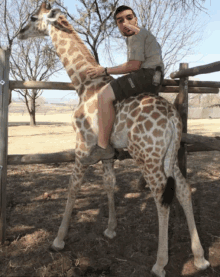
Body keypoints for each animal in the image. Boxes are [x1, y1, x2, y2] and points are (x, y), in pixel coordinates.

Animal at [17, 2, 210, 276]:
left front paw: (58, 240)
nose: (20, 33)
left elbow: (73, 188)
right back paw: (200, 258)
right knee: (183, 189)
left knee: (162, 197)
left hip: (147, 157)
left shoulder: (81, 148)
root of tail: (174, 118)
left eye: (33, 17)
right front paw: (110, 229)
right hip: (168, 154)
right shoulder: (106, 154)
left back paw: (159, 263)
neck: (84, 84)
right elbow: (109, 184)